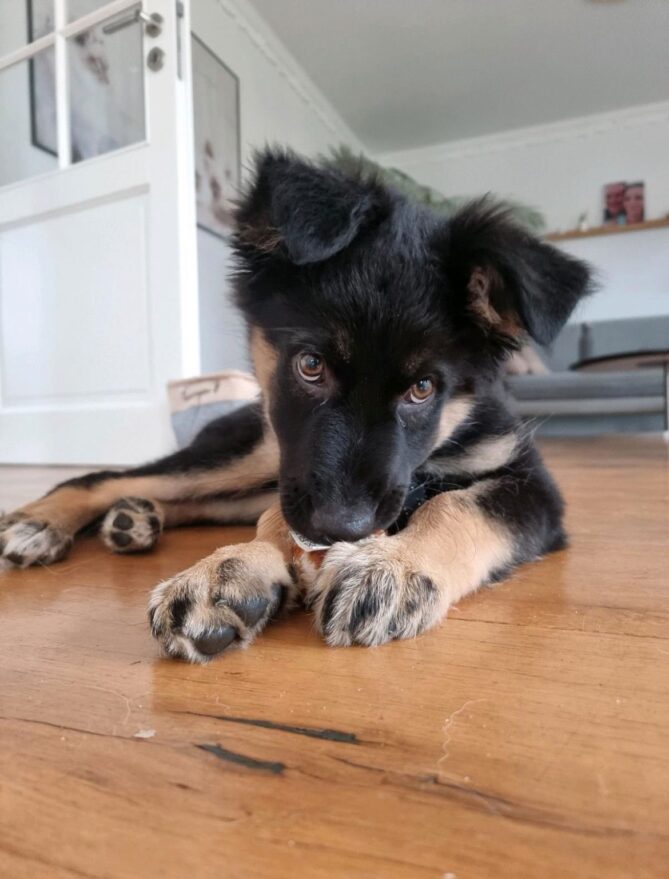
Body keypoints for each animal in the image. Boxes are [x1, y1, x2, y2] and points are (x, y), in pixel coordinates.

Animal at [2, 150, 592, 660]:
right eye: (310, 365)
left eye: (423, 388)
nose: (340, 528)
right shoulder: (299, 481)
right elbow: (277, 522)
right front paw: (235, 567)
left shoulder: (529, 482)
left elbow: (457, 507)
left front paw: (395, 566)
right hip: (256, 456)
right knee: (109, 476)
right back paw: (43, 520)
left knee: (195, 500)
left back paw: (137, 518)